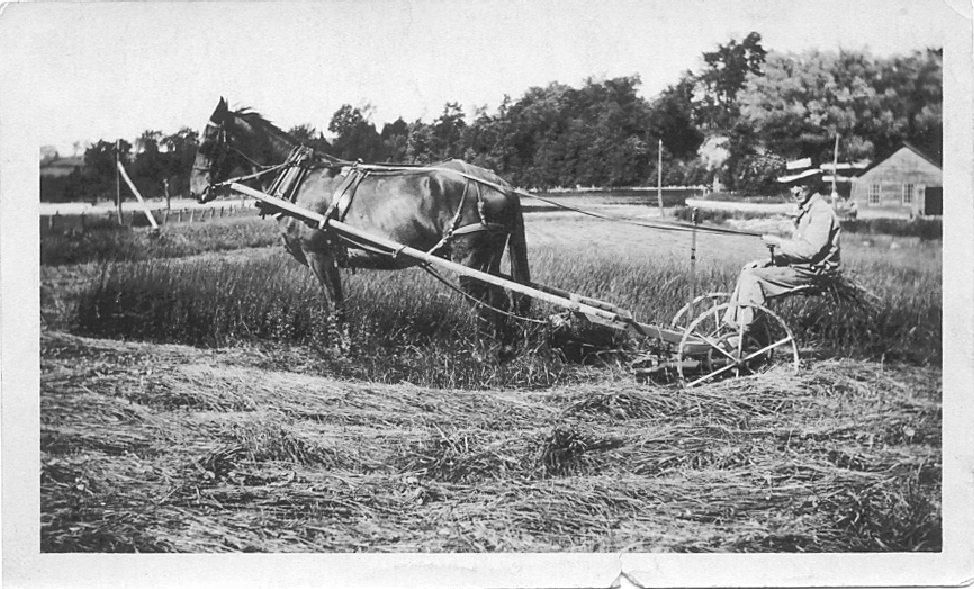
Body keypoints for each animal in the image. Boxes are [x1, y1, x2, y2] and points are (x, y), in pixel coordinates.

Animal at [186, 99, 528, 352]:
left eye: (206, 142)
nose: (196, 190)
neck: (303, 181)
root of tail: (498, 183)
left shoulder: (319, 255)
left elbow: (336, 304)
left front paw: (344, 351)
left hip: (470, 261)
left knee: (487, 307)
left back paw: (484, 357)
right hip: (488, 260)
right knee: (501, 303)